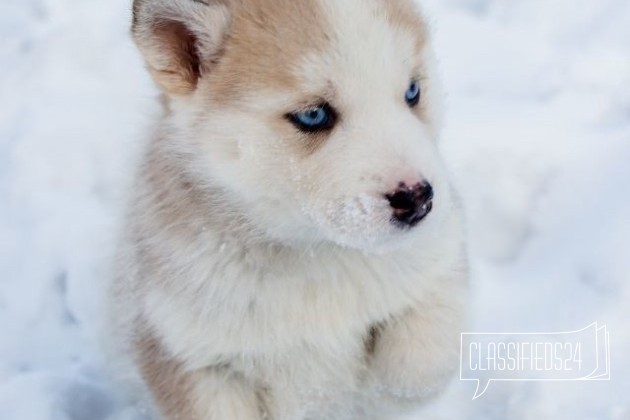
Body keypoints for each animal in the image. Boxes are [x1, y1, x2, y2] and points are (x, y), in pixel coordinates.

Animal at [112, 0, 470, 418]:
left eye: (413, 91)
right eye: (313, 115)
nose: (417, 198)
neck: (315, 255)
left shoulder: (440, 262)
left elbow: (419, 365)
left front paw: (376, 394)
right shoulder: (186, 352)